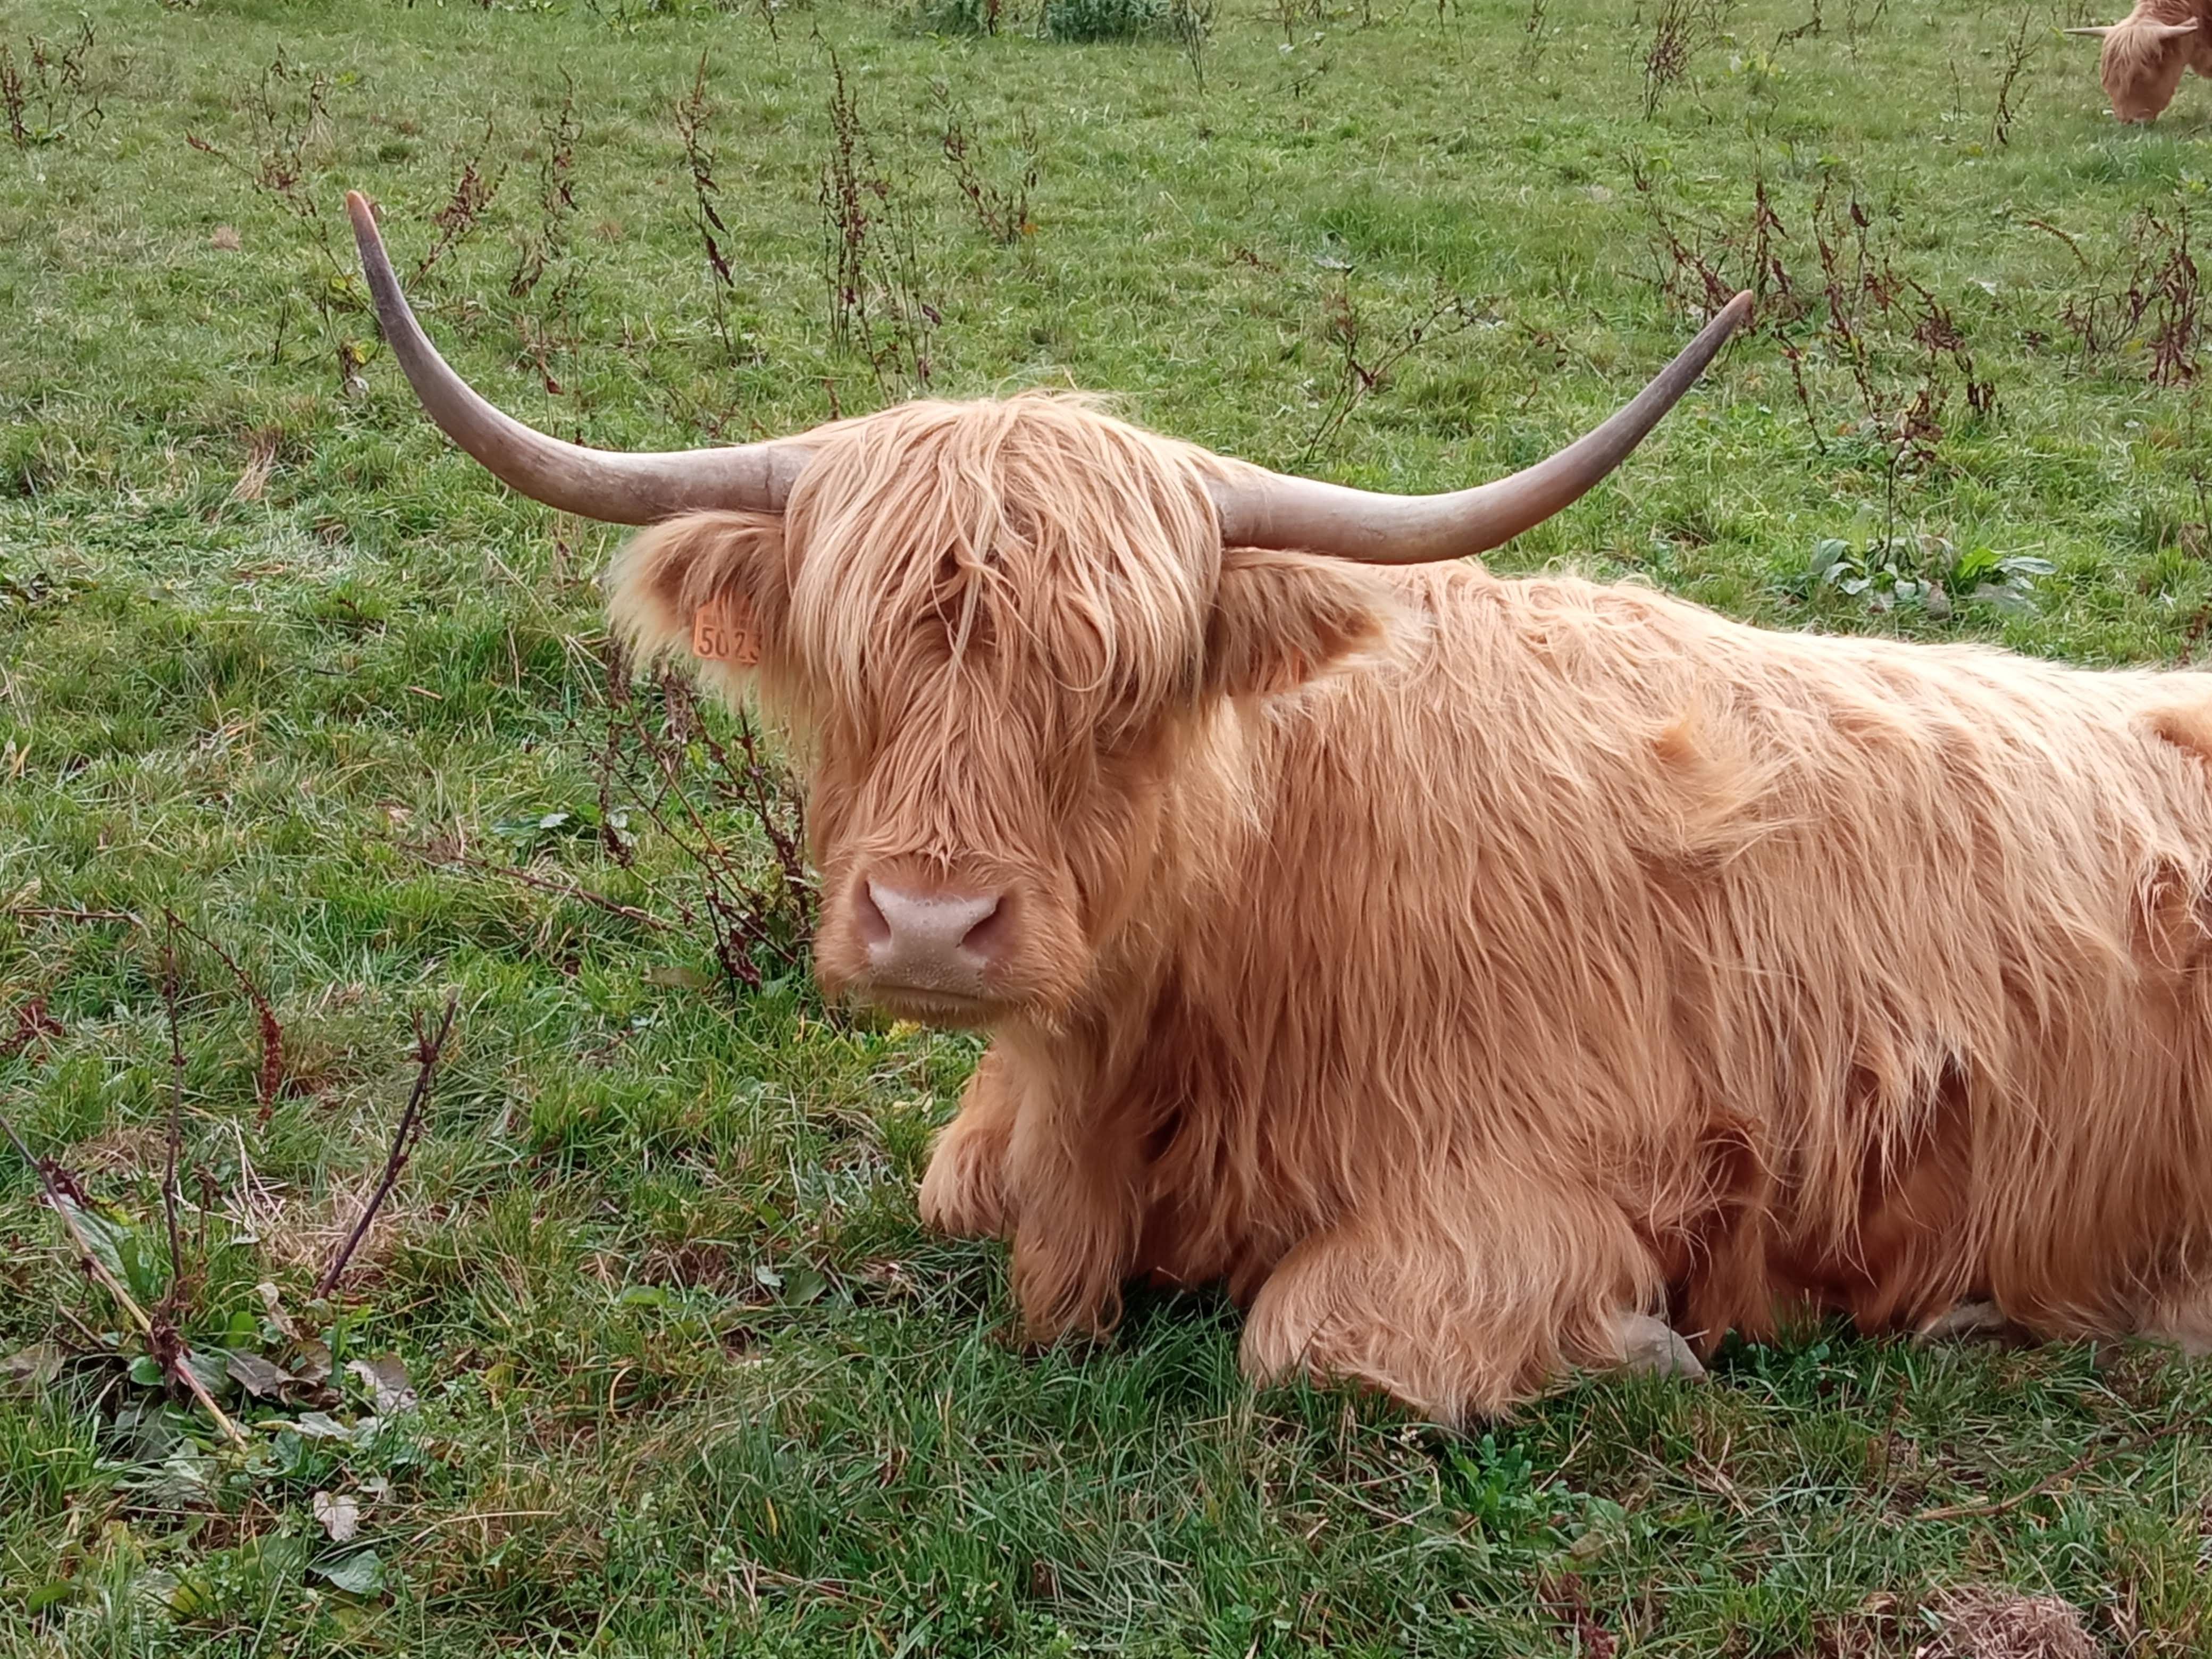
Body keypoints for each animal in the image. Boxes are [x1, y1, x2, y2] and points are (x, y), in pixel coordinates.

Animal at [349, 191, 2212, 1423]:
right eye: (852, 665)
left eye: (1125, 690)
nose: (935, 926)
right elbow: (952, 1182)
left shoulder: (1520, 1192)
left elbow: (1317, 1341)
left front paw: (1647, 1344)